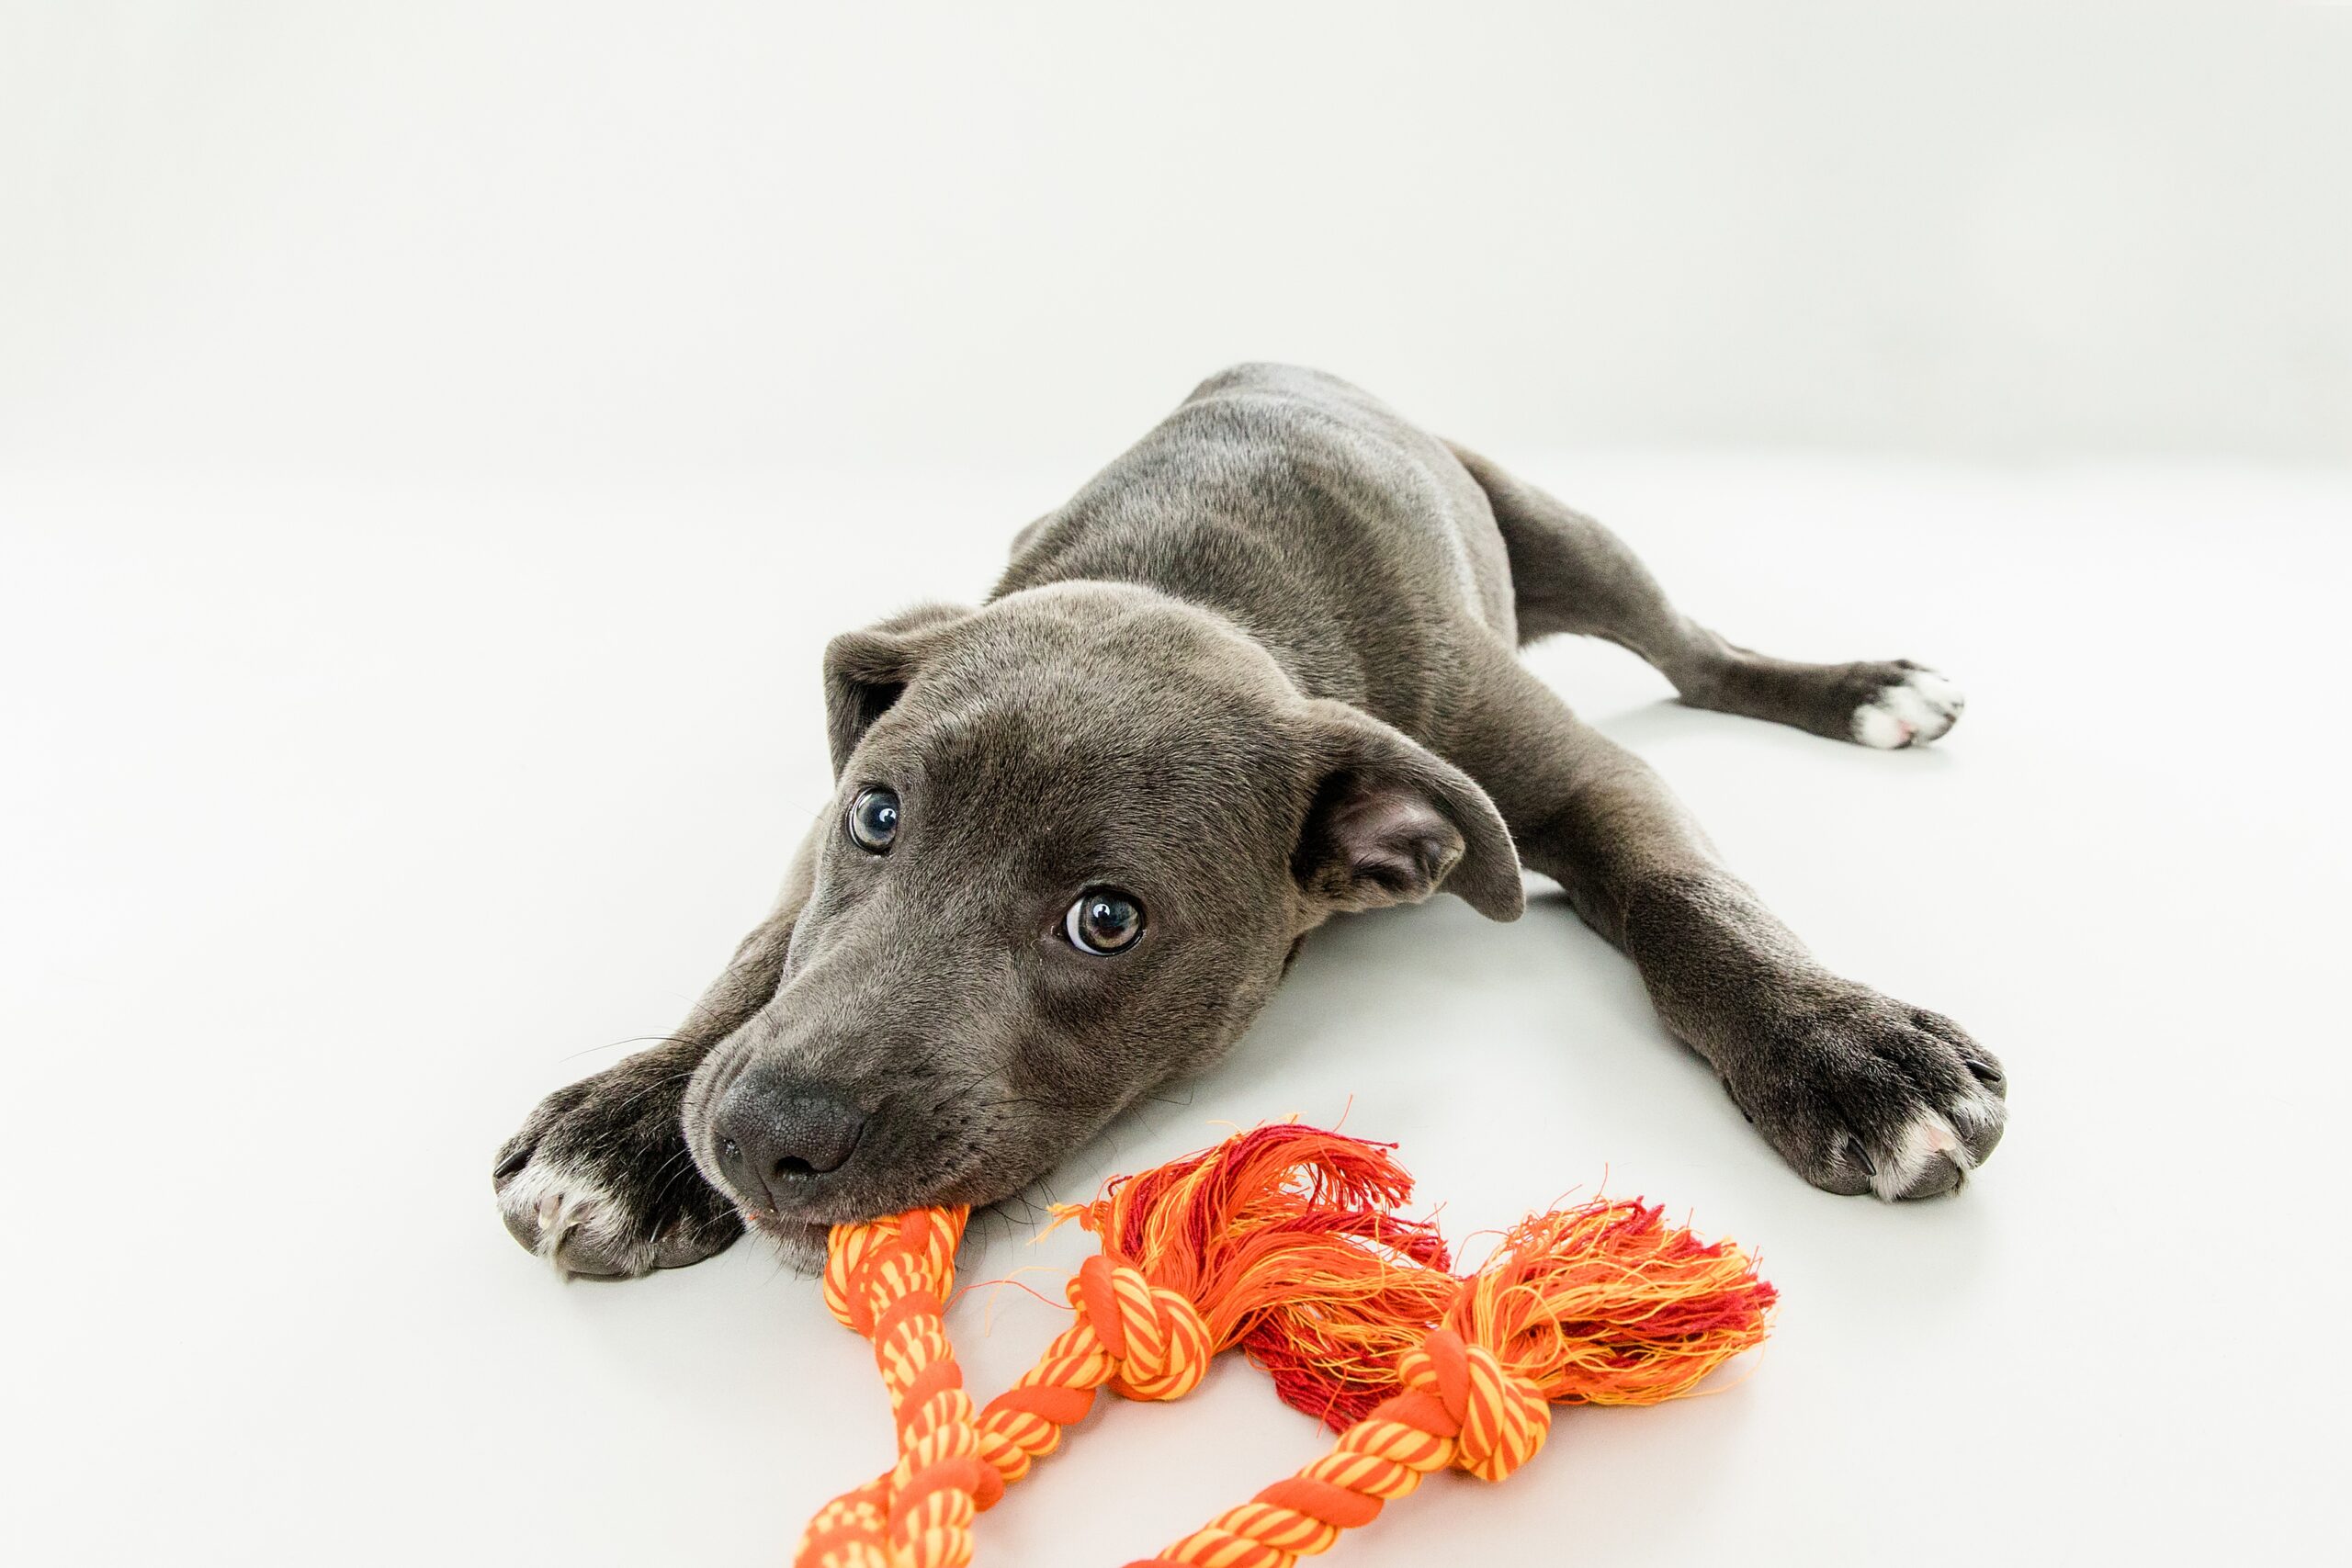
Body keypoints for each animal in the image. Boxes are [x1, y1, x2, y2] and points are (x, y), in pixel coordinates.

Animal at [492, 371, 2004, 1288]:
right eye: (876, 815)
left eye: (1107, 920)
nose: (765, 1136)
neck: (1199, 586)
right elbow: (768, 946)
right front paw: (629, 1119)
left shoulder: (1573, 772)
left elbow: (1685, 891)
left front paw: (1847, 1046)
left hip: (1567, 530)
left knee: (1695, 658)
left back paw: (1864, 692)